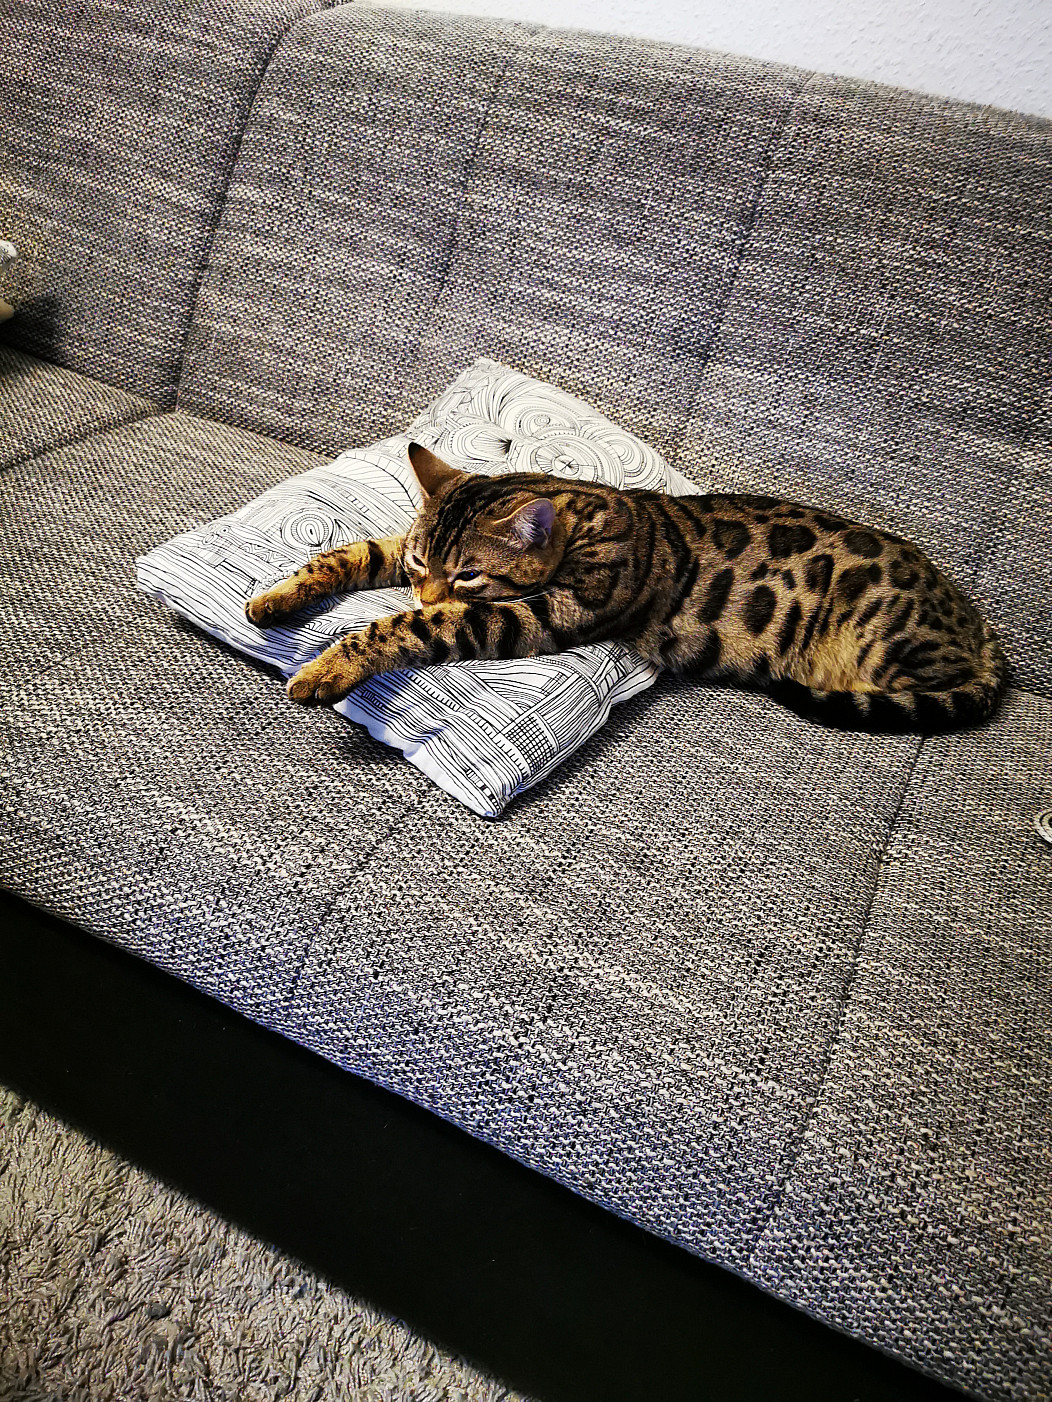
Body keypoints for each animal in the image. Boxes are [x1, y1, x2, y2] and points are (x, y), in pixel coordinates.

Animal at [245, 442, 1006, 733]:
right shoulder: (397, 551)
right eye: (417, 566)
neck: (582, 513)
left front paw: (329, 667)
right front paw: (276, 598)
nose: (424, 593)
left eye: (468, 574)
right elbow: (345, 553)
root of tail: (981, 629)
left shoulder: (544, 613)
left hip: (888, 646)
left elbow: (410, 629)